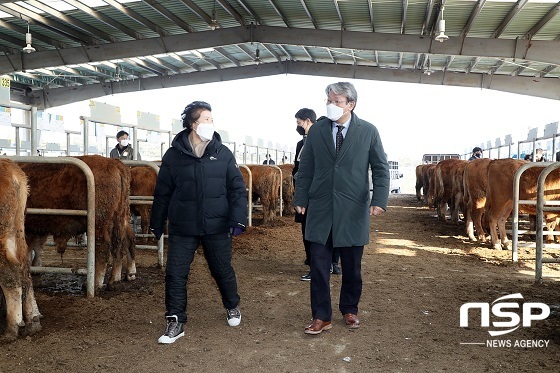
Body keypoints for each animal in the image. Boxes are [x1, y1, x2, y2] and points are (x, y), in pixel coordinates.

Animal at [21, 155, 137, 290]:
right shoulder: (36, 228)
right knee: (125, 241)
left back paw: (95, 283)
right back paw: (122, 276)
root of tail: (115, 164)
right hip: (121, 217)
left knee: (103, 247)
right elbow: (36, 248)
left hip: (99, 223)